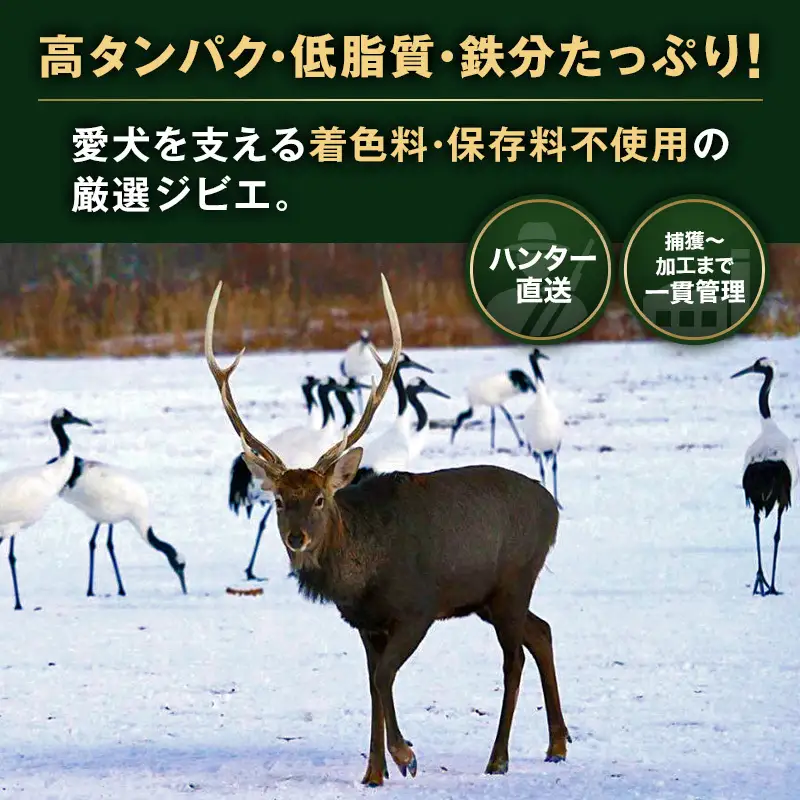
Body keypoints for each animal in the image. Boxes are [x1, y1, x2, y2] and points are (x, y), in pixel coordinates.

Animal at [204, 275, 570, 787]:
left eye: (321, 498)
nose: (297, 539)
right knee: (542, 632)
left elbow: (383, 679)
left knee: (514, 655)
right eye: (278, 500)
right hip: (487, 597)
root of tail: (551, 506)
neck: (362, 576)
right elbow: (372, 684)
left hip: (515, 579)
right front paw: (373, 772)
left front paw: (405, 756)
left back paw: (499, 758)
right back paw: (557, 745)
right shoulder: (364, 622)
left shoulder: (418, 608)